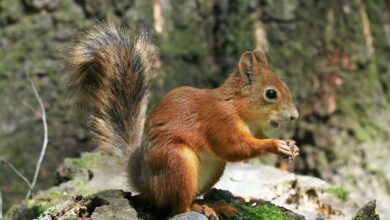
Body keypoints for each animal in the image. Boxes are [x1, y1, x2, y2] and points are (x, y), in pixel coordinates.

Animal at [68, 21, 298, 218]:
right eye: (271, 93)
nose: (294, 116)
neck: (238, 107)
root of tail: (145, 183)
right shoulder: (219, 121)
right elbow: (234, 148)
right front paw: (276, 145)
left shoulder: (255, 129)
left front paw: (292, 145)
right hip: (178, 162)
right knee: (178, 208)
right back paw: (201, 208)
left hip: (212, 169)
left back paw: (217, 205)